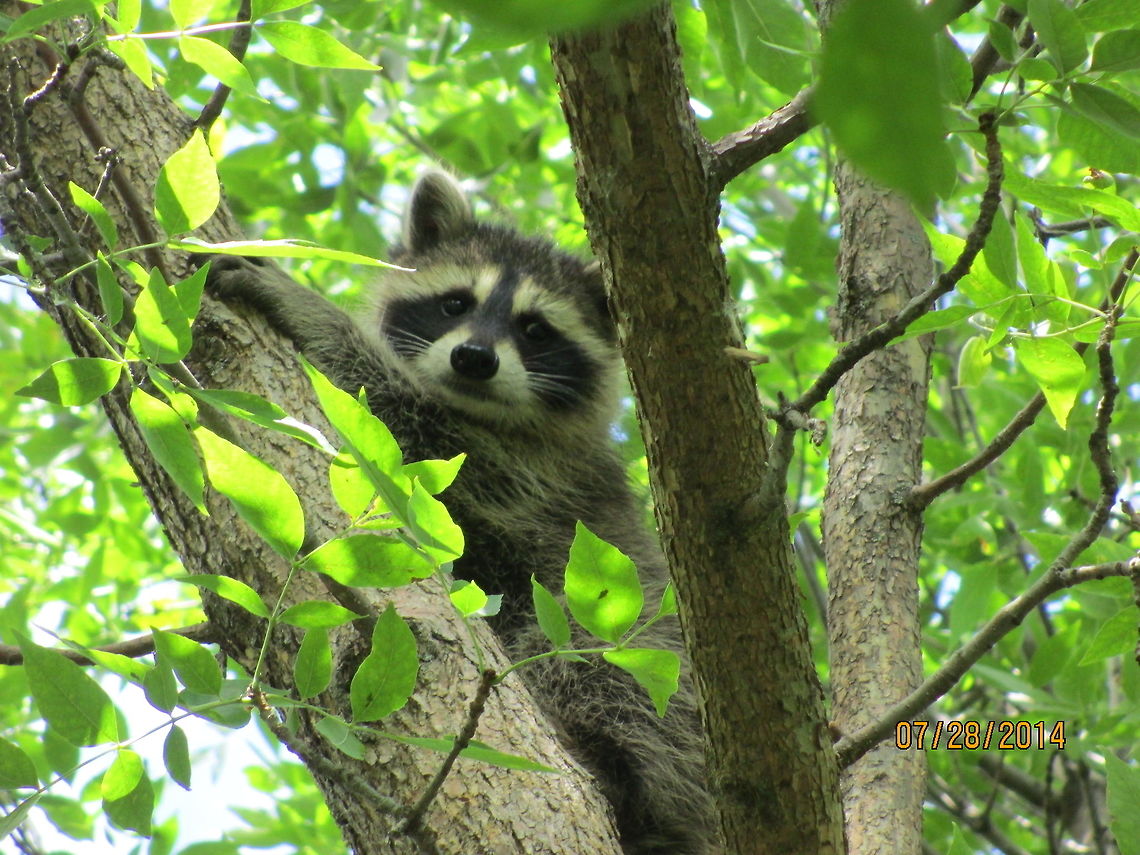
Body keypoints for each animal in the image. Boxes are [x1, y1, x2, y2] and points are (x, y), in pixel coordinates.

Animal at [201, 172, 716, 854]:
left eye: (535, 329)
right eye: (454, 303)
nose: (474, 357)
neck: (481, 404)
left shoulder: (535, 473)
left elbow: (411, 422)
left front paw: (315, 312)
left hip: (633, 646)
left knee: (593, 670)